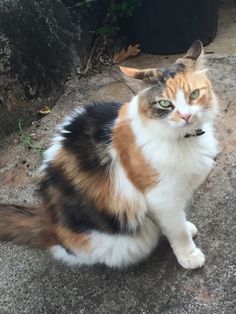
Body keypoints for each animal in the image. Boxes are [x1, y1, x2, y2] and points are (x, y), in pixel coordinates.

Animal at [0, 40, 219, 268]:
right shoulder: (162, 197)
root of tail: (50, 223)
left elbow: (177, 221)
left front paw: (186, 227)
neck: (182, 138)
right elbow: (177, 231)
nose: (186, 116)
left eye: (194, 95)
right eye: (165, 103)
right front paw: (188, 254)